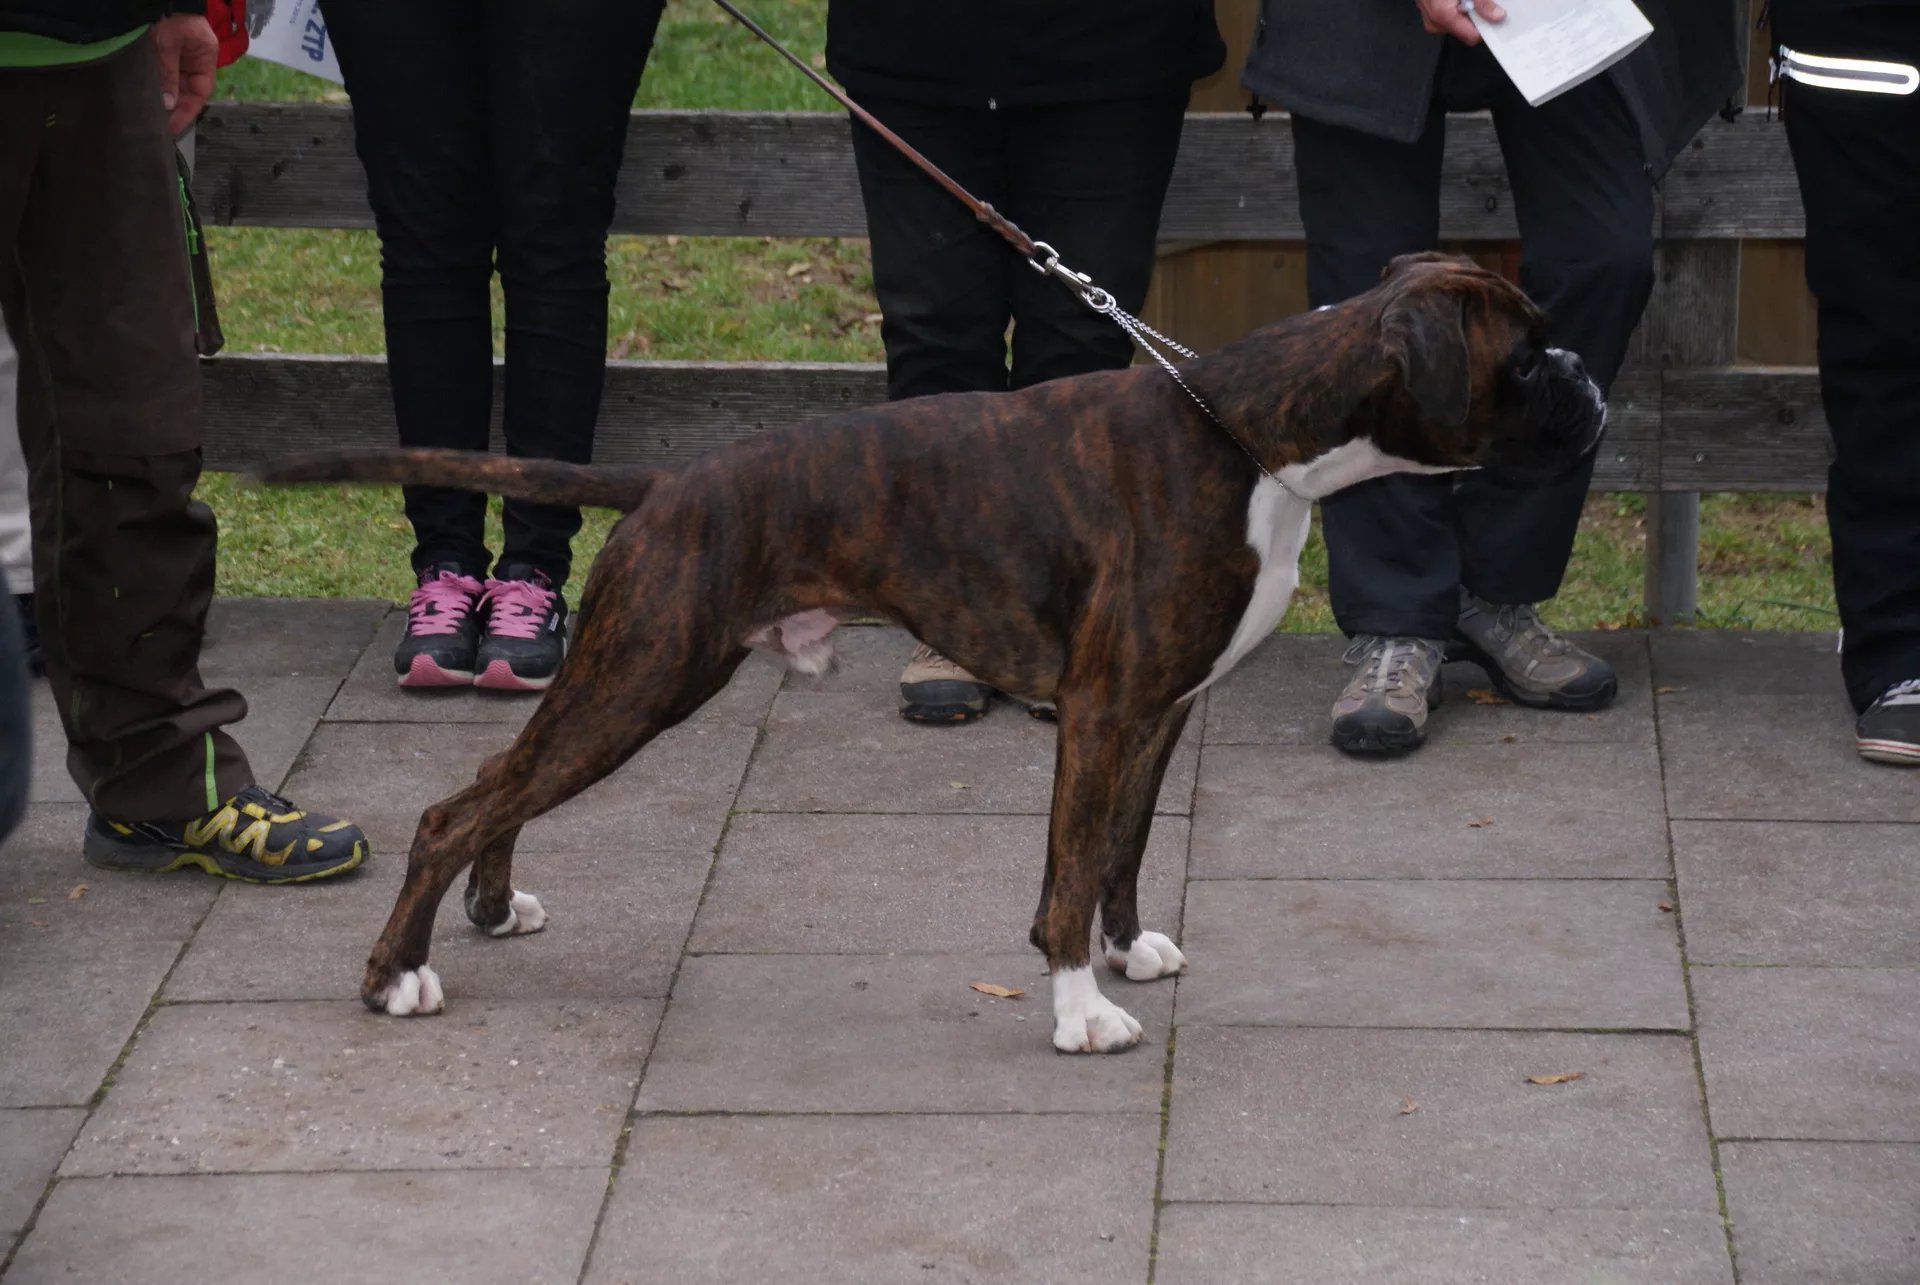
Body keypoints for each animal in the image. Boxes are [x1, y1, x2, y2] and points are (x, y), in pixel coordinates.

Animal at [260, 253, 1605, 1054]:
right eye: (1525, 355)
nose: (1591, 380)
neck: (1250, 439)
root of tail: (672, 484)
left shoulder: (1159, 711)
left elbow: (1121, 850)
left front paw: (1126, 951)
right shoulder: (1104, 710)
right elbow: (1068, 869)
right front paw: (1079, 1007)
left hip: (630, 682)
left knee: (502, 792)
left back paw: (491, 910)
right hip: (642, 677)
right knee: (459, 805)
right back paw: (395, 976)